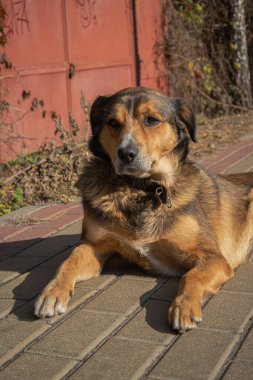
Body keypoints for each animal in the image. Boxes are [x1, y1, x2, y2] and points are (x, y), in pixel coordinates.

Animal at [34, 87, 253, 332]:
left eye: (151, 120)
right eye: (113, 122)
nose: (125, 153)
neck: (141, 190)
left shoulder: (214, 257)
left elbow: (192, 276)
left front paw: (184, 306)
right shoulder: (94, 245)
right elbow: (68, 262)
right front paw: (51, 292)